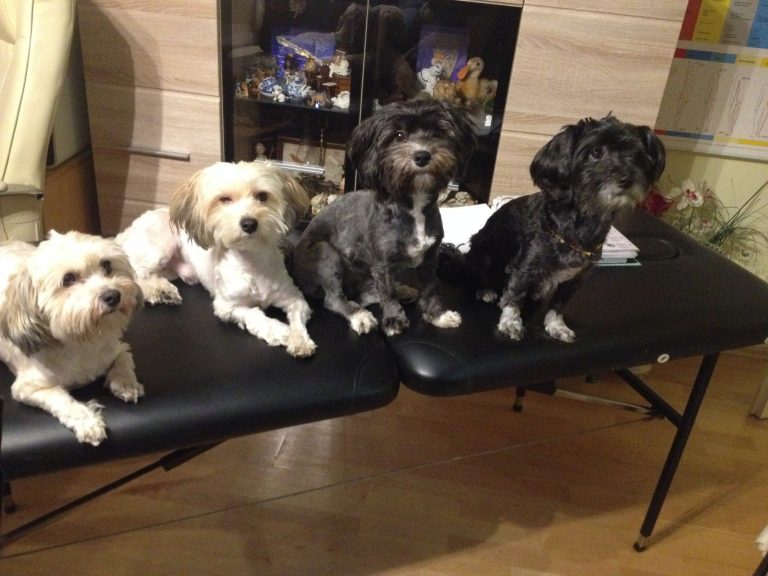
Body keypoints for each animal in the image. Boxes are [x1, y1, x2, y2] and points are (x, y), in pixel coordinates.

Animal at [0, 231, 144, 445]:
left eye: (107, 266)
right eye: (68, 279)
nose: (113, 295)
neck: (81, 341)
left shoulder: (119, 348)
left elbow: (124, 362)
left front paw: (125, 383)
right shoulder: (27, 388)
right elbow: (61, 399)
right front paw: (87, 421)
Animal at [116, 161, 317, 358]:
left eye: (262, 196)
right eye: (225, 199)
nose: (249, 223)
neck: (252, 264)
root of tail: (127, 231)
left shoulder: (295, 298)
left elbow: (297, 317)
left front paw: (299, 340)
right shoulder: (226, 307)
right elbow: (254, 315)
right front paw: (278, 330)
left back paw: (163, 290)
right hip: (161, 248)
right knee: (135, 276)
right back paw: (158, 291)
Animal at [292, 99, 476, 336]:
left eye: (438, 132)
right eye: (398, 135)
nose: (422, 156)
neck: (412, 202)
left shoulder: (430, 257)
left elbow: (431, 287)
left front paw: (438, 315)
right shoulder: (382, 263)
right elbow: (387, 293)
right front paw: (394, 320)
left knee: (366, 293)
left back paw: (401, 291)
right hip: (325, 253)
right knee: (335, 299)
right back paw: (359, 315)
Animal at [461, 114, 665, 342]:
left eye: (637, 156)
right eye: (596, 152)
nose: (627, 179)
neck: (581, 224)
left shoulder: (575, 279)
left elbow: (558, 306)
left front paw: (556, 326)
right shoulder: (524, 268)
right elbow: (515, 297)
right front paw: (510, 323)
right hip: (483, 255)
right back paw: (486, 290)